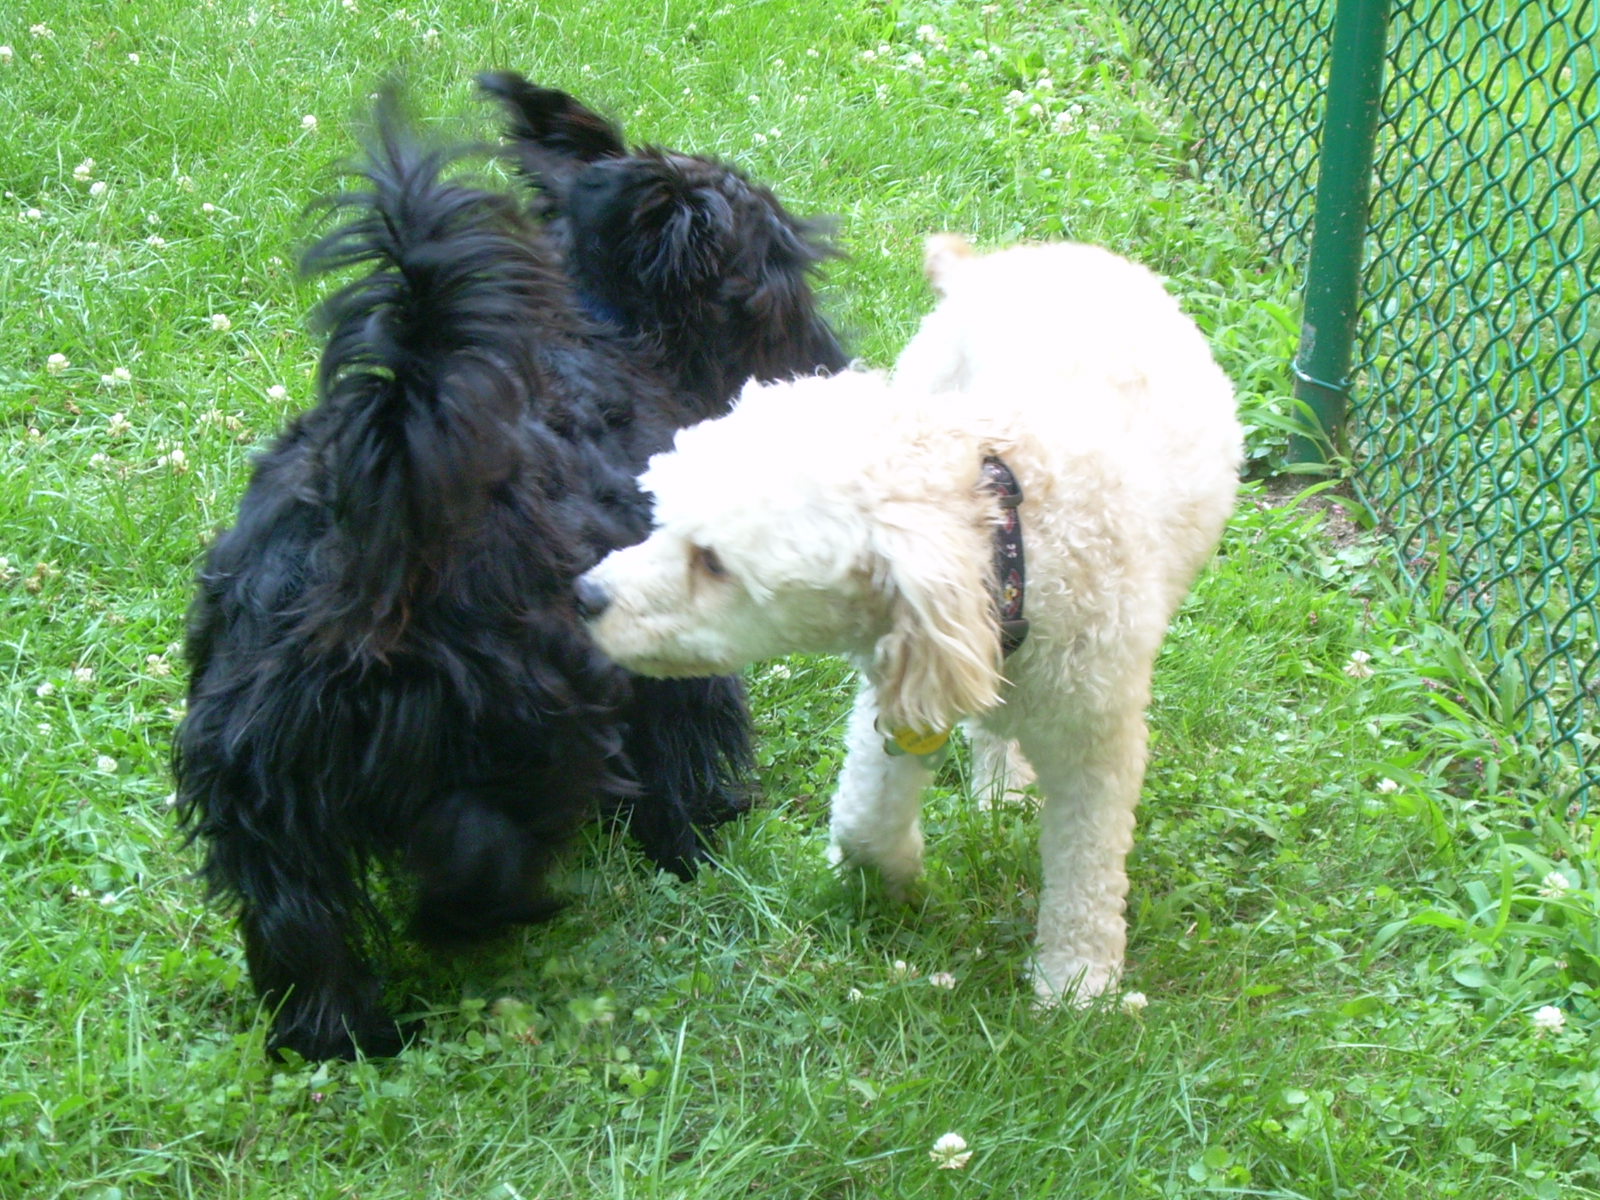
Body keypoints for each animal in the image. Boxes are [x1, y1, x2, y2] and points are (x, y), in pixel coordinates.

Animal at [173, 77, 851, 1062]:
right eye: (779, 271)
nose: (835, 363)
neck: (604, 328)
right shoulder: (669, 645)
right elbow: (689, 750)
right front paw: (700, 839)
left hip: (259, 787)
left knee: (299, 930)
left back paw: (341, 1039)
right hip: (526, 734)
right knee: (473, 859)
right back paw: (491, 922)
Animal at [582, 235, 1241, 1004]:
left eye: (714, 562)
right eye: (661, 520)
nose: (585, 595)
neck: (1016, 534)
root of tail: (1012, 258)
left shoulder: (1097, 742)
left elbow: (1088, 866)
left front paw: (1077, 981)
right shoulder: (902, 685)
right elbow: (865, 815)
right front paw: (890, 877)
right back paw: (999, 786)